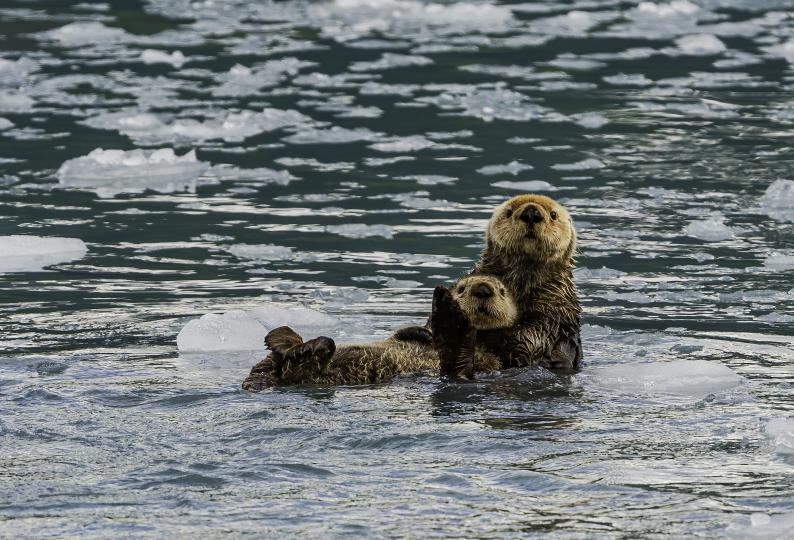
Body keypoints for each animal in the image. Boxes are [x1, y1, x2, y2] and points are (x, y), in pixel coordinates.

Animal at [240, 278, 512, 388]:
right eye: (463, 287)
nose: (482, 289)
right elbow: (409, 333)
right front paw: (424, 331)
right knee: (269, 363)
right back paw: (284, 338)